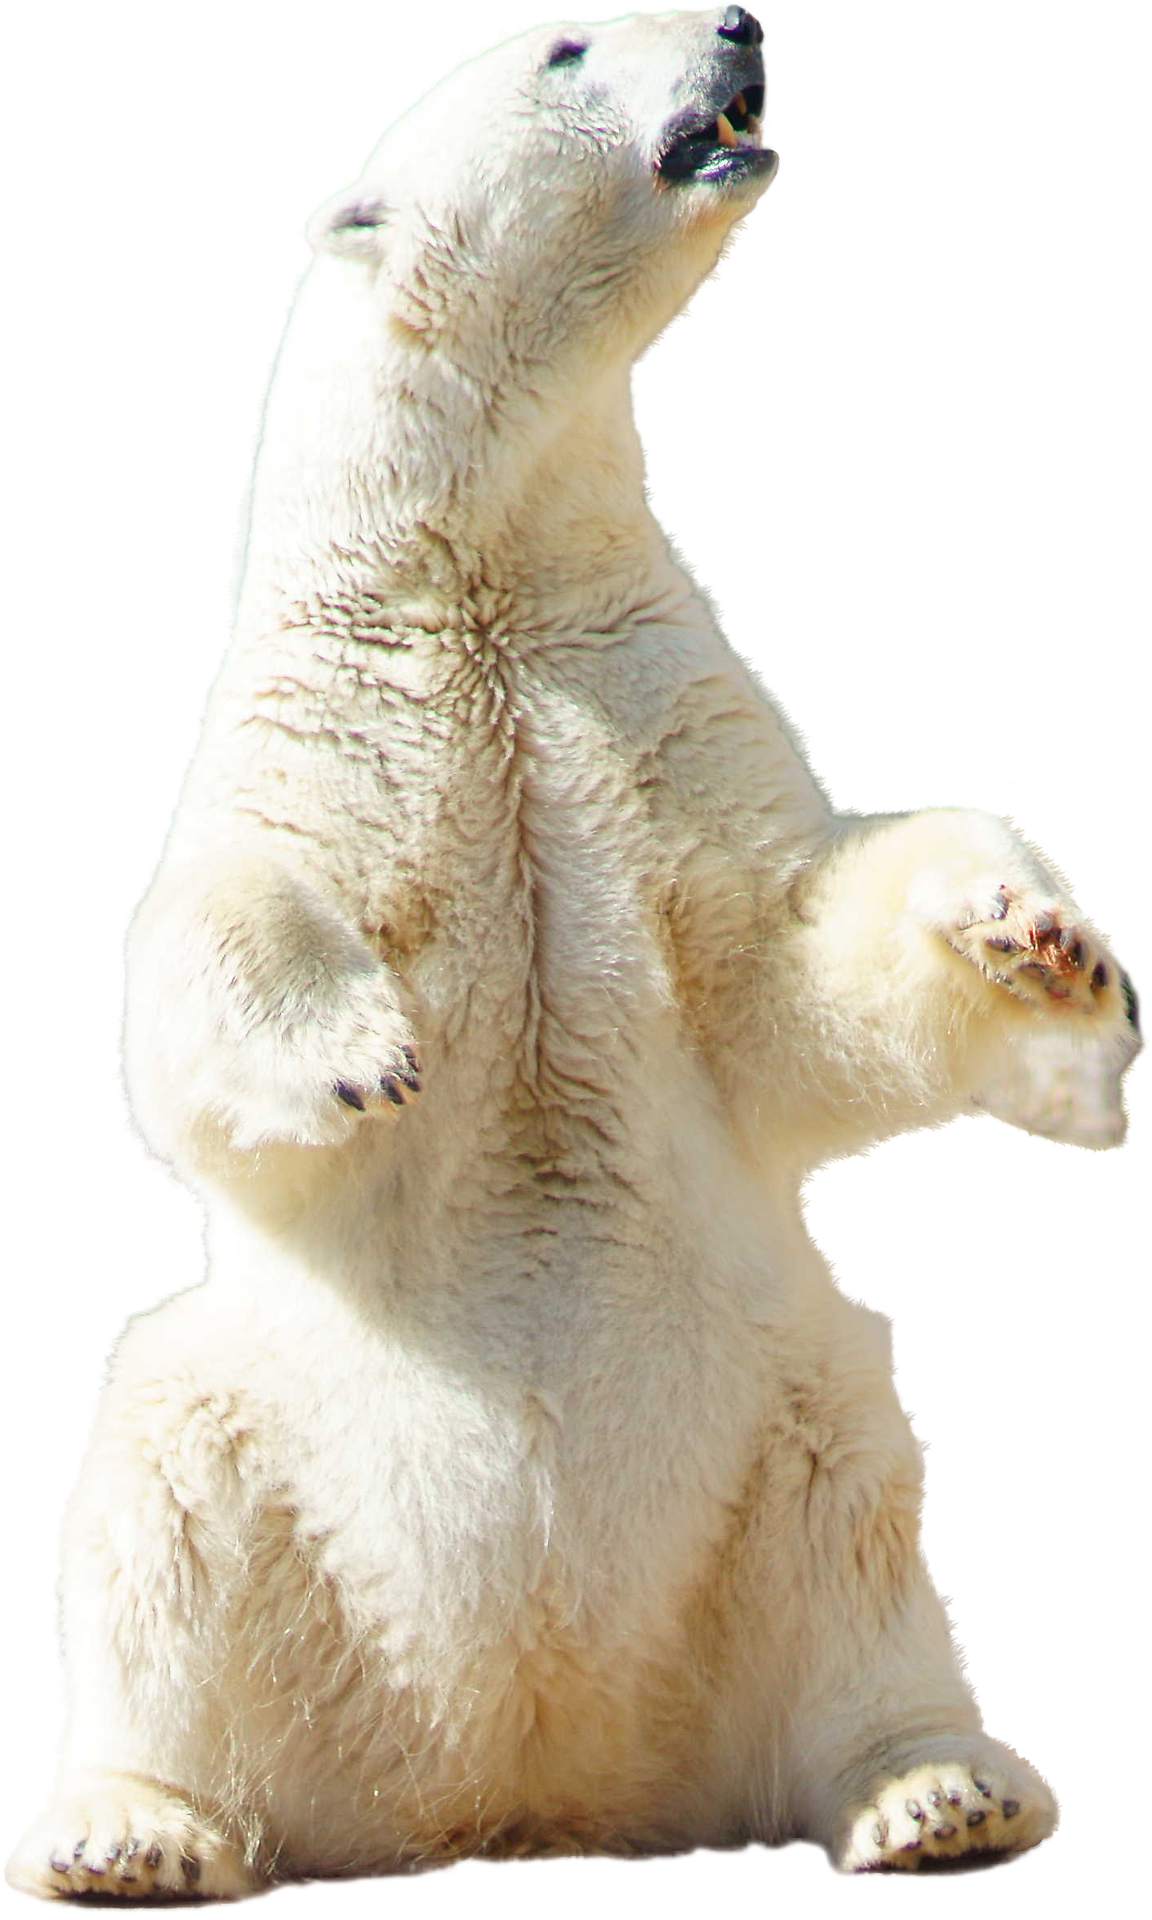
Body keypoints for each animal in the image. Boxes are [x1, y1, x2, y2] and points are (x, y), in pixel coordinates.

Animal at [3, 3, 1141, 1902]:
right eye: (563, 48)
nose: (742, 19)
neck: (477, 569)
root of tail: (530, 1783)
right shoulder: (334, 723)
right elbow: (211, 946)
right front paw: (357, 1055)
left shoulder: (643, 693)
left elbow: (785, 954)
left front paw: (1039, 943)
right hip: (261, 1453)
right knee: (149, 1467)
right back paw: (131, 1832)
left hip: (777, 1431)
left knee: (862, 1504)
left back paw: (936, 1795)